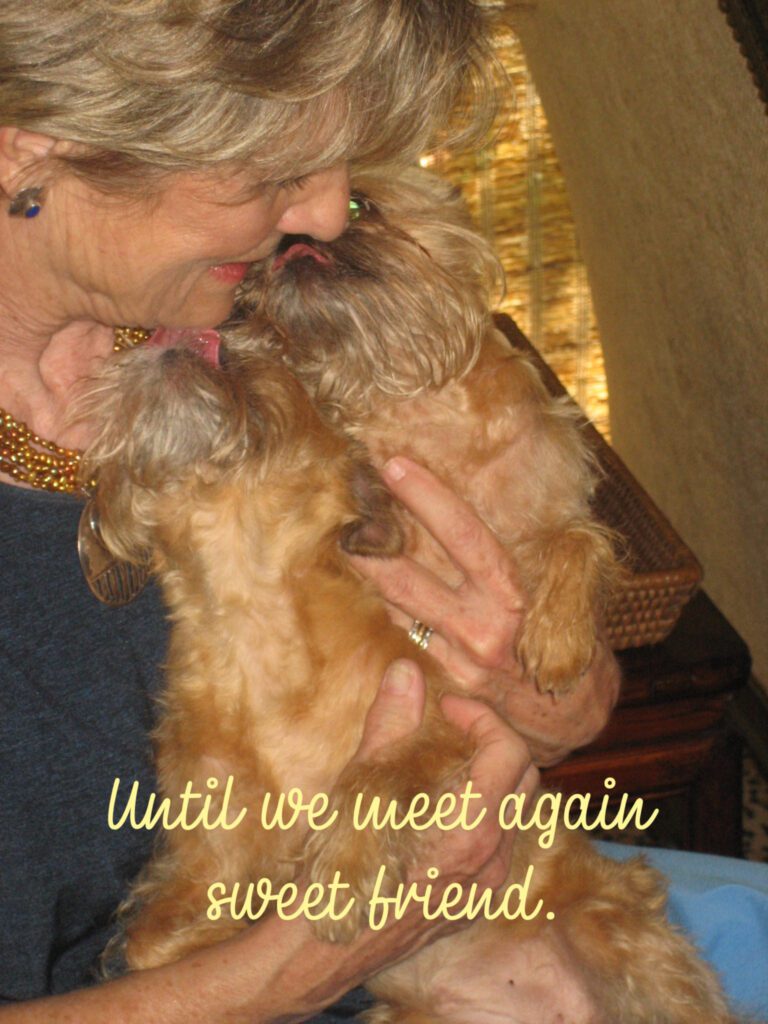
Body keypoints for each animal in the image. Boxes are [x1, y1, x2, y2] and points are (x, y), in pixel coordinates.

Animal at [83, 167, 741, 1015]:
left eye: (355, 206)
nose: (297, 241)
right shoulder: (203, 852)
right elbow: (148, 944)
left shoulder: (451, 725)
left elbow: (380, 772)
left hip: (624, 937)